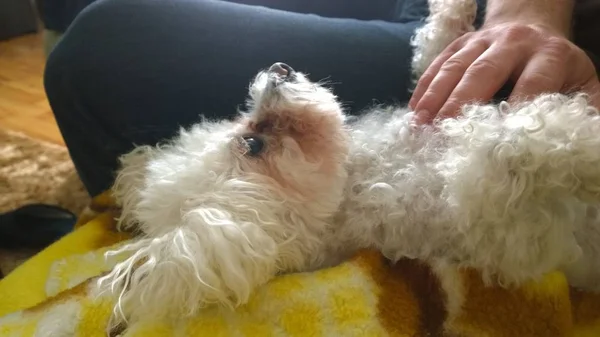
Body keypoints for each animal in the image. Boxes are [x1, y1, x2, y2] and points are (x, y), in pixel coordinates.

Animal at [96, 0, 596, 330]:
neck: (359, 176)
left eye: (241, 124)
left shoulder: (433, 93)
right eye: (253, 144)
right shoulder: (496, 222)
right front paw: (579, 141)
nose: (277, 70)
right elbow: (517, 145)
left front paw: (453, 10)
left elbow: (434, 54)